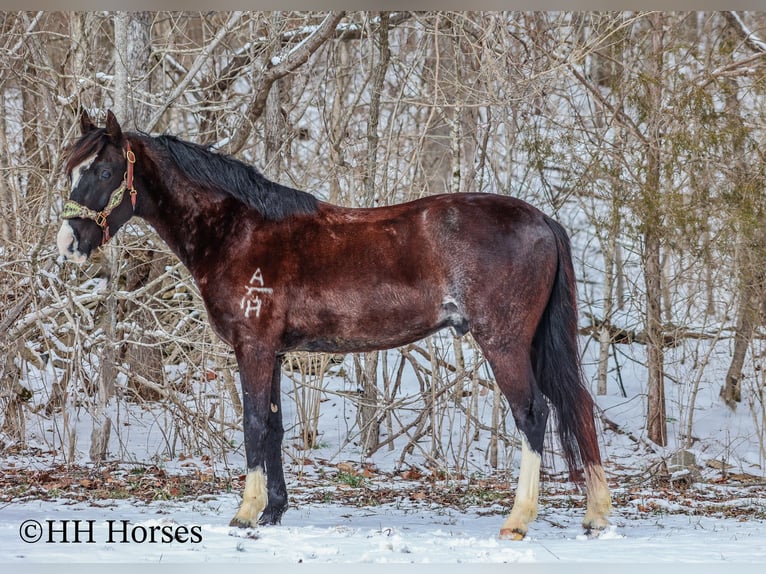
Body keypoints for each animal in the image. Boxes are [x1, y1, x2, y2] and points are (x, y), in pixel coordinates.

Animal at [57, 110, 612, 544]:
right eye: (71, 169)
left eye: (104, 169)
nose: (69, 242)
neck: (238, 231)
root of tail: (542, 220)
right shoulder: (275, 352)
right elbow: (275, 427)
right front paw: (274, 511)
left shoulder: (253, 348)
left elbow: (253, 424)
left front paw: (245, 514)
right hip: (534, 344)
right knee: (577, 405)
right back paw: (596, 516)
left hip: (505, 342)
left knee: (533, 414)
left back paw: (518, 520)